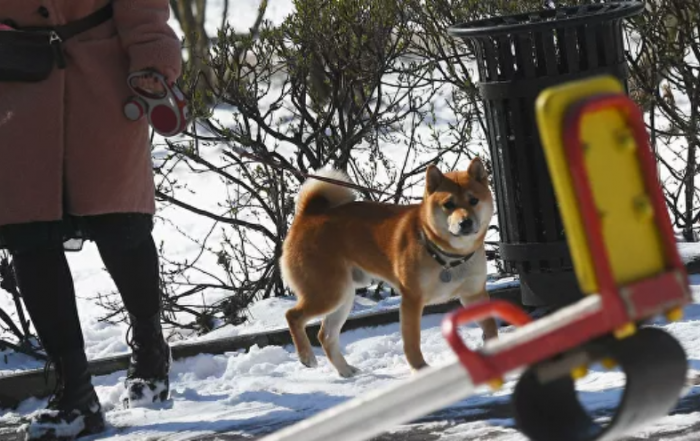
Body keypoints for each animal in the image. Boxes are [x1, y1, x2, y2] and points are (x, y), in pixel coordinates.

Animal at [278, 156, 498, 376]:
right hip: (329, 293)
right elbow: (412, 341)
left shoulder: (473, 294)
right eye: (449, 204)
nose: (465, 222)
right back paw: (306, 356)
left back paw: (345, 370)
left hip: (344, 296)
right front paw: (420, 368)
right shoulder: (412, 300)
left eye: (473, 200)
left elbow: (490, 325)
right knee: (292, 316)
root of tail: (308, 215)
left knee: (325, 335)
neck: (448, 257)